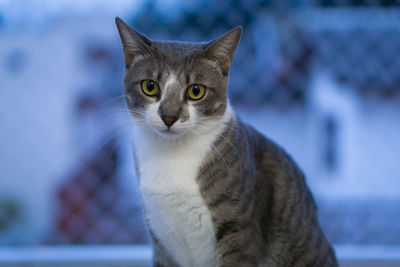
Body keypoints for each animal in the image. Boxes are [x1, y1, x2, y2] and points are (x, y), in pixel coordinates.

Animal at [115, 17, 338, 267]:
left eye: (196, 91)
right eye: (150, 86)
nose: (169, 117)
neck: (172, 157)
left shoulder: (238, 230)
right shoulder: (161, 236)